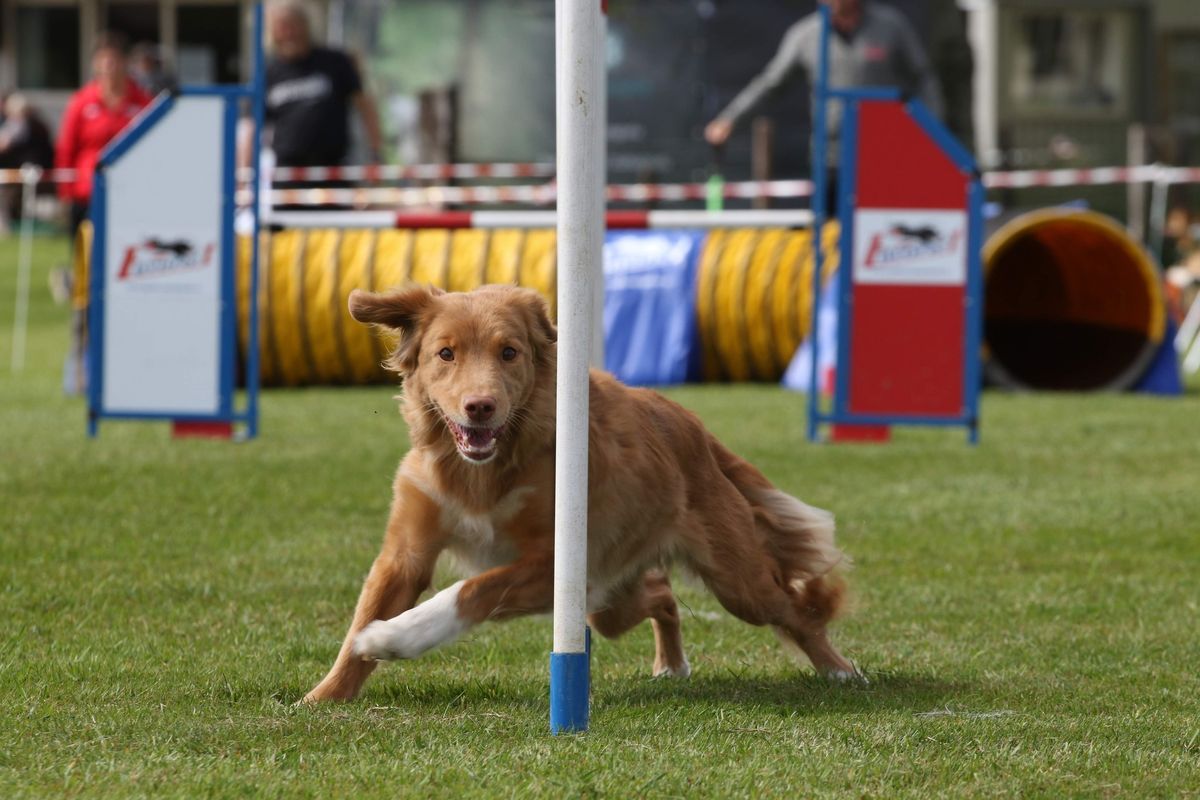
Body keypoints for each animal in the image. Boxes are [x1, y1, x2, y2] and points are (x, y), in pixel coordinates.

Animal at [304, 280, 859, 700]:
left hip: (735, 581)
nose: (480, 407)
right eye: (446, 353)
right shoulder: (406, 552)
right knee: (660, 594)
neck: (485, 471)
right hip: (606, 600)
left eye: (509, 352)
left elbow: (471, 590)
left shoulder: (557, 564)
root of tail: (689, 423)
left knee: (794, 610)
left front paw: (393, 637)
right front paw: (324, 696)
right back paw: (671, 664)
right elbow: (364, 615)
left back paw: (841, 670)